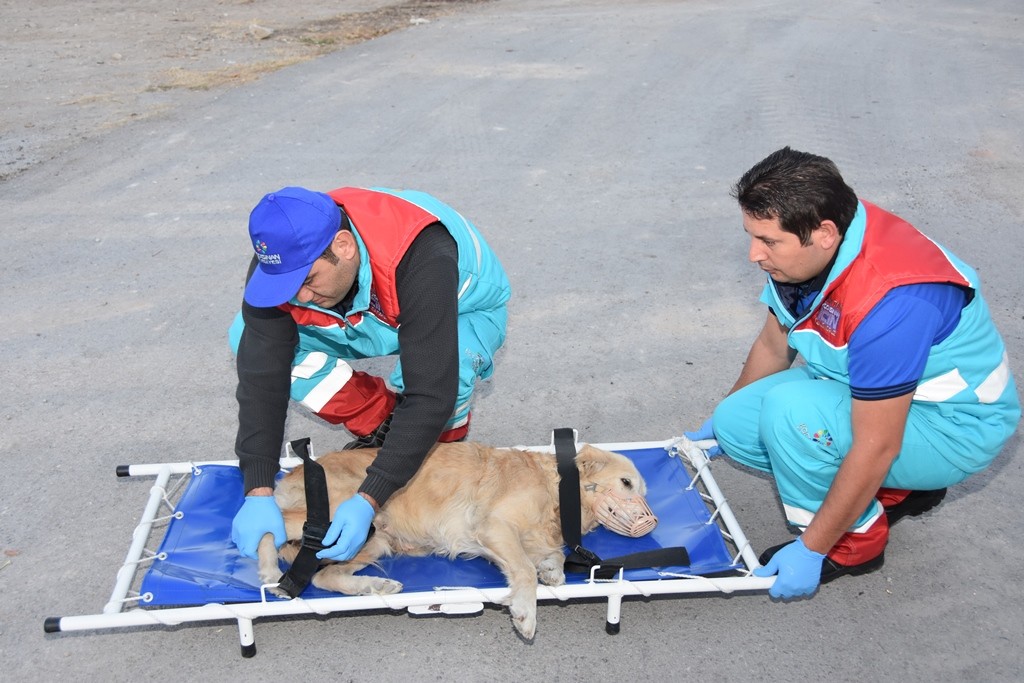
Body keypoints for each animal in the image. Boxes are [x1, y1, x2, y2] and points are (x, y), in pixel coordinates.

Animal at [258, 440, 655, 638]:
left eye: (641, 489)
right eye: (626, 483)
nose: (649, 524)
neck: (558, 492)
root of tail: (295, 472)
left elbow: (547, 557)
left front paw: (553, 570)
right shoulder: (494, 525)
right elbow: (524, 572)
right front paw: (526, 613)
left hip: (370, 538)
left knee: (324, 576)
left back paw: (375, 586)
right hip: (339, 514)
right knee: (267, 523)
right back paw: (267, 568)